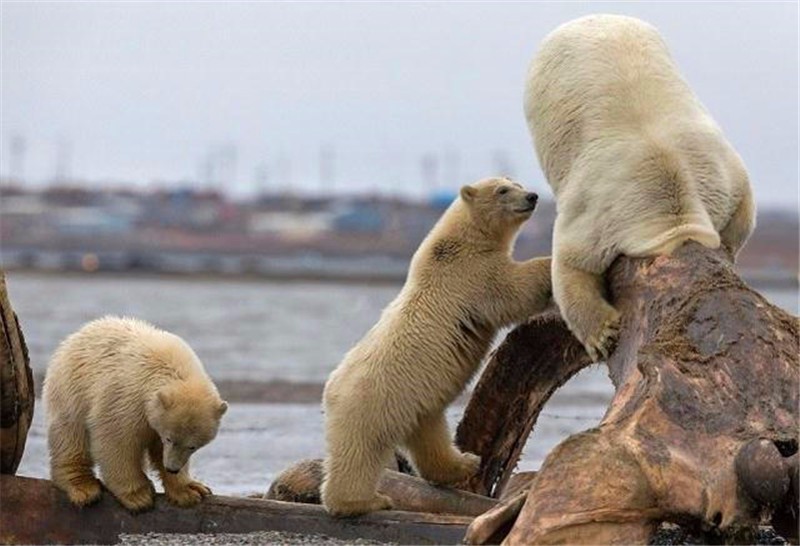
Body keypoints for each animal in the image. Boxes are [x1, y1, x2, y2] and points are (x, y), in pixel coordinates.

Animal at [43, 314, 227, 510]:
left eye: (193, 446)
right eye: (169, 438)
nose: (172, 468)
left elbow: (157, 448)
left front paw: (190, 490)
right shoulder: (126, 399)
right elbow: (117, 441)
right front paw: (139, 497)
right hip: (72, 389)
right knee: (70, 435)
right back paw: (83, 487)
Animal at [322, 175, 552, 516]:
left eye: (518, 183)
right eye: (502, 190)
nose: (533, 196)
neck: (458, 241)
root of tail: (331, 391)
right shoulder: (471, 273)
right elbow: (511, 288)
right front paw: (552, 264)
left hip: (418, 405)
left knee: (430, 438)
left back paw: (466, 462)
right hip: (372, 401)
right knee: (361, 451)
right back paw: (362, 501)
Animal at [524, 12, 756, 360]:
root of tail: (594, 15)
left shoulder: (719, 172)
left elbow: (743, 209)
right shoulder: (600, 211)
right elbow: (571, 262)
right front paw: (603, 336)